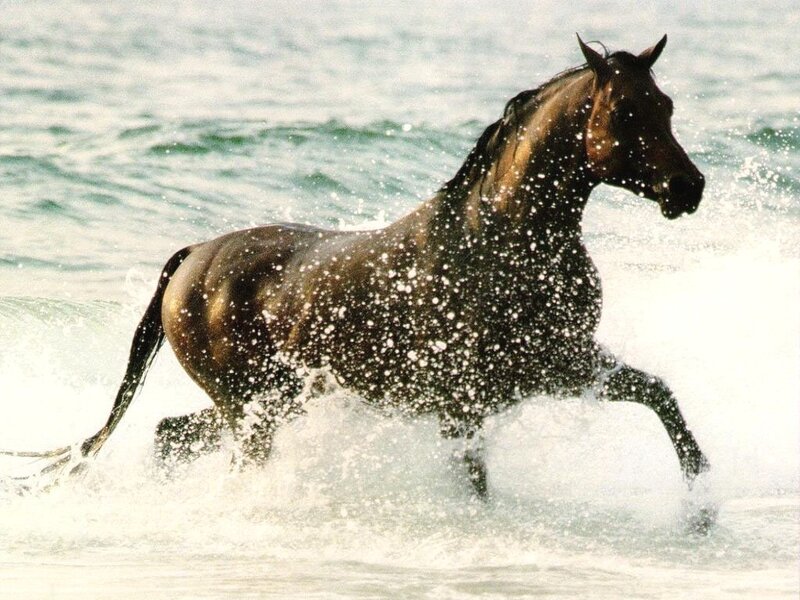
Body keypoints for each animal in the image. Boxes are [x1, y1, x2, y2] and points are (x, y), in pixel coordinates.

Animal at [7, 35, 709, 504]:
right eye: (624, 113)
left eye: (667, 105)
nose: (689, 187)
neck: (501, 241)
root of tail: (192, 259)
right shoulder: (467, 402)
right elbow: (475, 480)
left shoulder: (562, 365)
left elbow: (662, 397)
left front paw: (702, 502)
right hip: (251, 409)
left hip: (269, 402)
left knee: (169, 435)